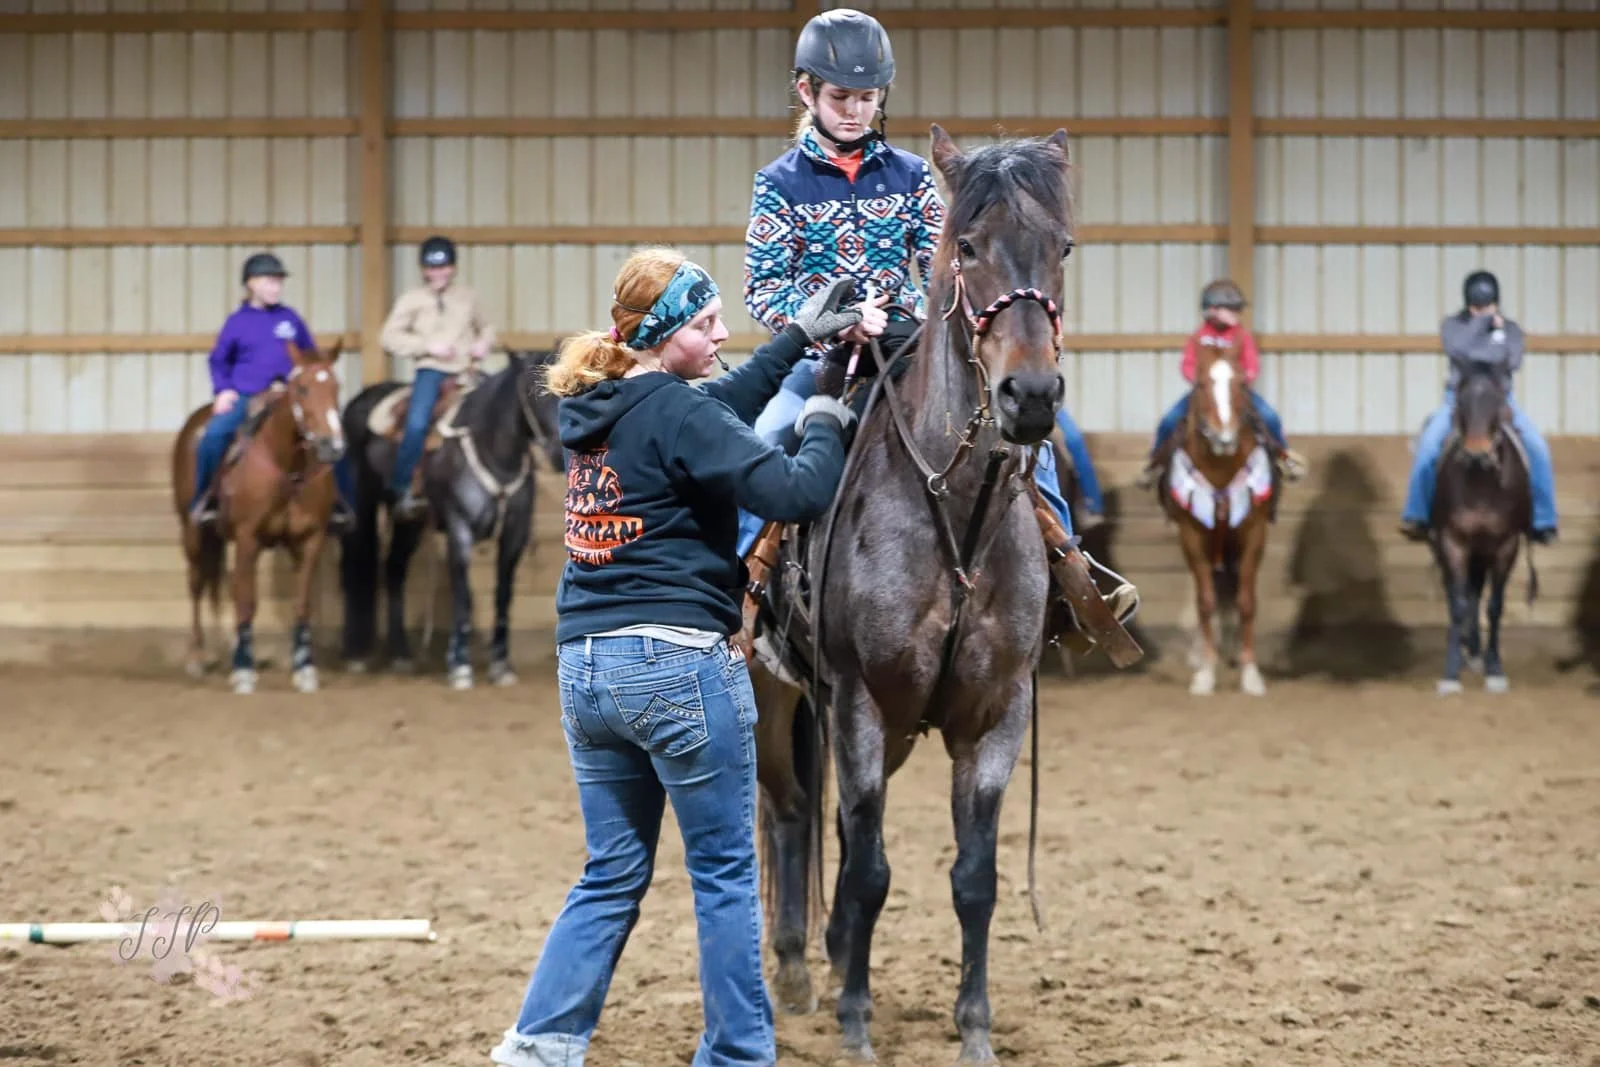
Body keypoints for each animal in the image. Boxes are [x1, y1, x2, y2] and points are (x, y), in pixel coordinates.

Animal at [170, 339, 347, 695]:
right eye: (303, 388)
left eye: (336, 387)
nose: (332, 446)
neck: (287, 466)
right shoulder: (248, 538)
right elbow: (246, 602)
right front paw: (243, 670)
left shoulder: (310, 540)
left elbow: (301, 604)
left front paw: (305, 669)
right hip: (193, 533)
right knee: (197, 585)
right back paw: (197, 657)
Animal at [338, 349, 563, 689]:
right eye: (534, 391)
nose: (562, 454)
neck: (493, 449)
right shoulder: (460, 529)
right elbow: (463, 597)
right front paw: (459, 666)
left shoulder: (515, 533)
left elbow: (503, 596)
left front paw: (501, 666)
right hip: (361, 506)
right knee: (359, 564)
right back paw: (357, 655)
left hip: (410, 522)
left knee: (394, 571)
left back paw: (401, 654)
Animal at [748, 125, 1099, 1064]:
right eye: (967, 247)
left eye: (1062, 247)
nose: (1030, 395)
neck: (957, 513)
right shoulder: (862, 699)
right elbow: (870, 869)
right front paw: (857, 1022)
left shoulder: (994, 712)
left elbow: (973, 877)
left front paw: (973, 1027)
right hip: (775, 693)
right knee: (792, 811)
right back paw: (795, 970)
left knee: (833, 824)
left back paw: (834, 955)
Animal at [1157, 344, 1276, 697]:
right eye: (1200, 384)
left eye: (1240, 383)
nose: (1224, 437)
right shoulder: (1192, 535)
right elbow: (1206, 601)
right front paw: (1205, 674)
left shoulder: (1253, 533)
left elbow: (1246, 601)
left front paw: (1251, 674)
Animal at [1428, 361, 1535, 695]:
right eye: (1461, 401)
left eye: (1497, 401)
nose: (1477, 453)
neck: (1481, 484)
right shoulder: (1453, 542)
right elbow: (1459, 604)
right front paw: (1450, 674)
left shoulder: (1506, 545)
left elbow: (1494, 606)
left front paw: (1495, 669)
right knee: (1462, 593)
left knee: (1476, 592)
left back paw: (1475, 652)